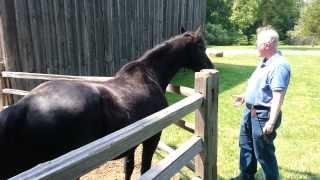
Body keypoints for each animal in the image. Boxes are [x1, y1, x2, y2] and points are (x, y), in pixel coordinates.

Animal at [0, 27, 215, 179]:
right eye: (201, 47)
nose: (210, 67)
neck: (148, 75)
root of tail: (22, 107)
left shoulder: (131, 141)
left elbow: (128, 168)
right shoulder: (151, 138)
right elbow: (144, 169)